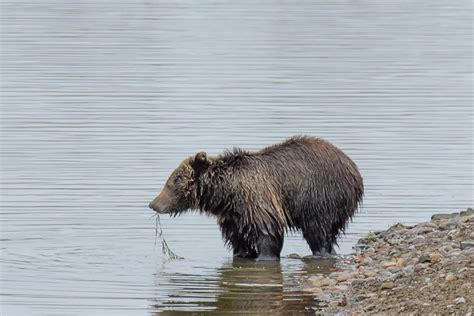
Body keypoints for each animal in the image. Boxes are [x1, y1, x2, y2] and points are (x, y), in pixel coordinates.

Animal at [148, 136, 362, 262]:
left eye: (173, 181)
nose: (153, 204)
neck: (226, 193)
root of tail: (354, 169)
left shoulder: (256, 199)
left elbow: (267, 232)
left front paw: (265, 256)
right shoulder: (233, 215)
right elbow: (238, 238)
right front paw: (242, 254)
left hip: (320, 195)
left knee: (317, 229)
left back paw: (318, 252)